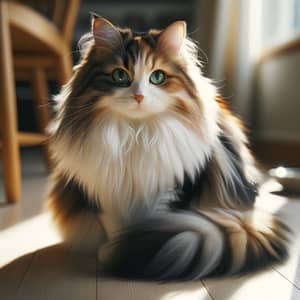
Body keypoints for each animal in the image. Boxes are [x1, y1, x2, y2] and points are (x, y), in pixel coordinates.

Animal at [47, 14, 290, 282]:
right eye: (120, 76)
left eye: (157, 77)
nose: (139, 97)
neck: (136, 133)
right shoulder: (105, 190)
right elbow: (113, 226)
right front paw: (115, 249)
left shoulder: (171, 187)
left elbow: (157, 220)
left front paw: (127, 249)